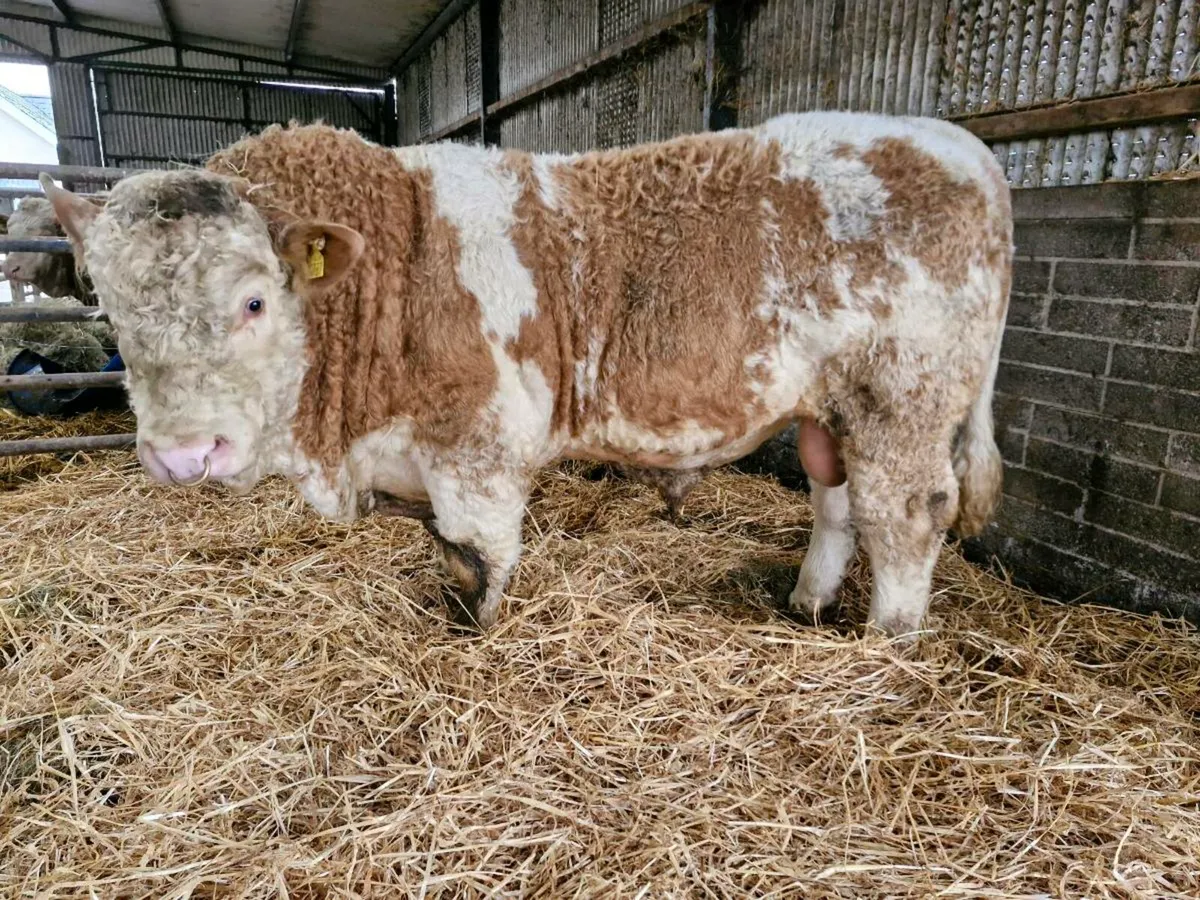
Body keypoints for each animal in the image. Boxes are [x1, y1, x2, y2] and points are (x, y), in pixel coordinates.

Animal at [38, 111, 1012, 640]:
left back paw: (888, 638)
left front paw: (476, 636)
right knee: (836, 502)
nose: (183, 456)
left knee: (907, 512)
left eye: (252, 301)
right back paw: (806, 604)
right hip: (829, 409)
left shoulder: (480, 447)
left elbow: (480, 559)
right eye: (109, 308)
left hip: (902, 398)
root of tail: (960, 145)